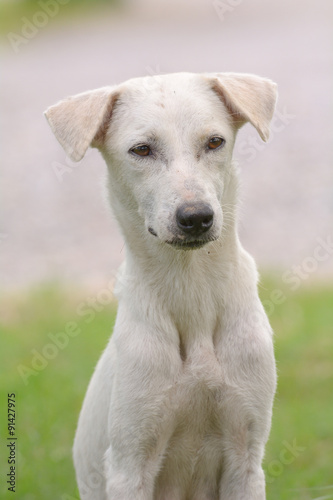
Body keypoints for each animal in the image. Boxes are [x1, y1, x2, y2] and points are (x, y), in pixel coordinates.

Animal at [44, 72, 278, 498]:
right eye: (142, 149)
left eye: (215, 141)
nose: (196, 216)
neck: (191, 290)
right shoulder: (129, 462)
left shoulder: (247, 455)